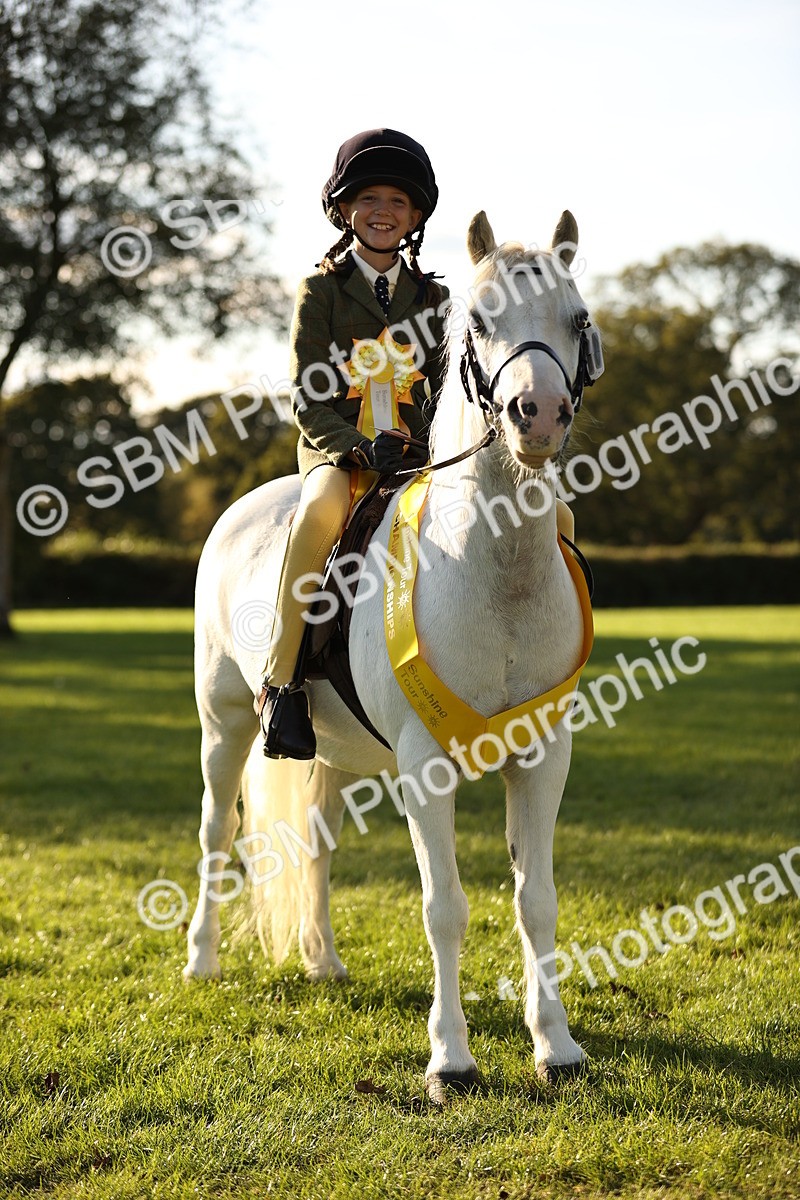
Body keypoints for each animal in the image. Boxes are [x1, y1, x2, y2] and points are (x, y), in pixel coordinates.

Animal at [184, 210, 600, 1101]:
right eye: (478, 321)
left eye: (577, 317)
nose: (538, 414)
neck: (494, 568)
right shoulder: (424, 767)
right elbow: (445, 907)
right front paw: (452, 1061)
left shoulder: (545, 756)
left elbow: (538, 900)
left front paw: (556, 1047)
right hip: (224, 726)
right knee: (214, 831)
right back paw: (202, 961)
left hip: (333, 752)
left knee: (316, 841)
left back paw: (323, 962)